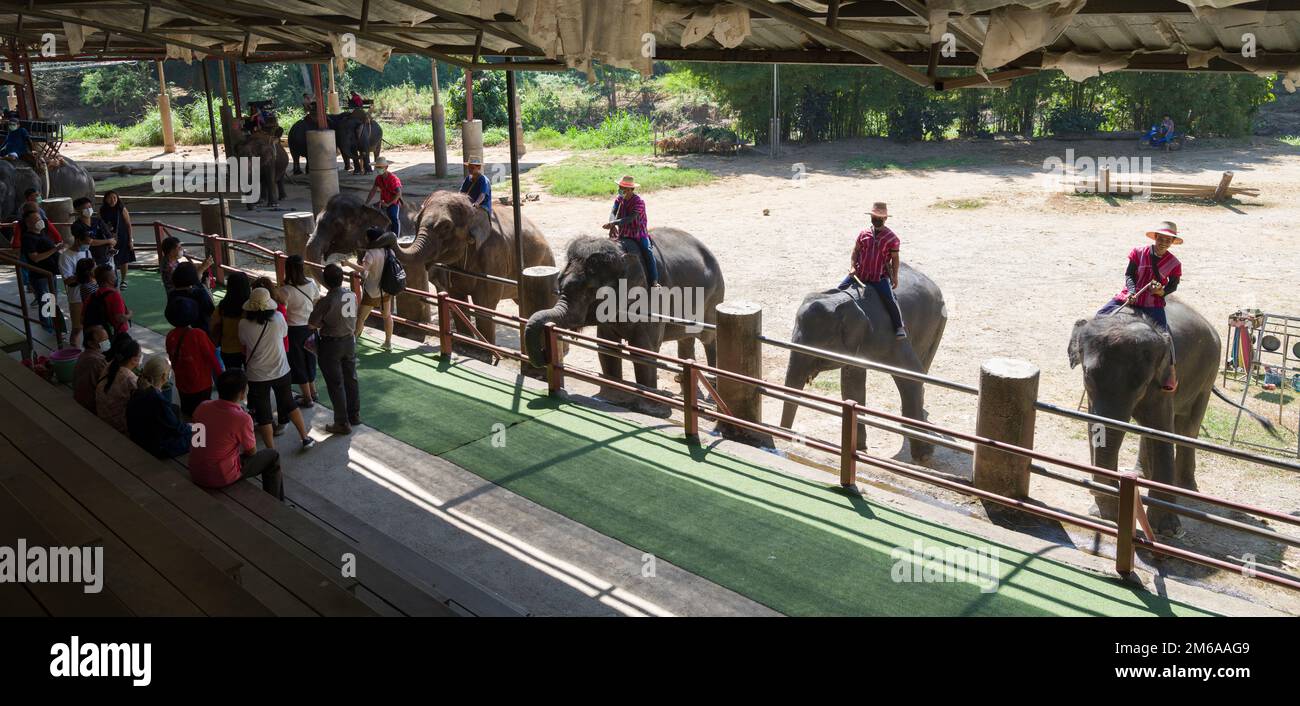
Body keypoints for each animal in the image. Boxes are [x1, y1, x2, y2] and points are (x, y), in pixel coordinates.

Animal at [522, 231, 728, 421]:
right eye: (560, 283)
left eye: (590, 290)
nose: (544, 353)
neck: (620, 252)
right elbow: (606, 346)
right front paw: (611, 397)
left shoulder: (652, 303)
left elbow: (644, 350)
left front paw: (653, 410)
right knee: (686, 338)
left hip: (713, 298)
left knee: (709, 340)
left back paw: (712, 393)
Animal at [774, 262, 951, 460]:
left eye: (822, 346)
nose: (785, 436)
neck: (845, 300)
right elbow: (852, 384)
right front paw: (858, 448)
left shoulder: (892, 335)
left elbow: (910, 376)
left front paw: (923, 458)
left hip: (937, 322)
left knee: (922, 368)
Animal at [1071, 301, 1274, 538]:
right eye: (1087, 375)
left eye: (1141, 383)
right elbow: (1096, 428)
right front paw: (1102, 514)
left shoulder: (1164, 380)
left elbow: (1162, 432)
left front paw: (1167, 530)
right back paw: (1140, 474)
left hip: (1208, 372)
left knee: (1188, 427)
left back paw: (1186, 489)